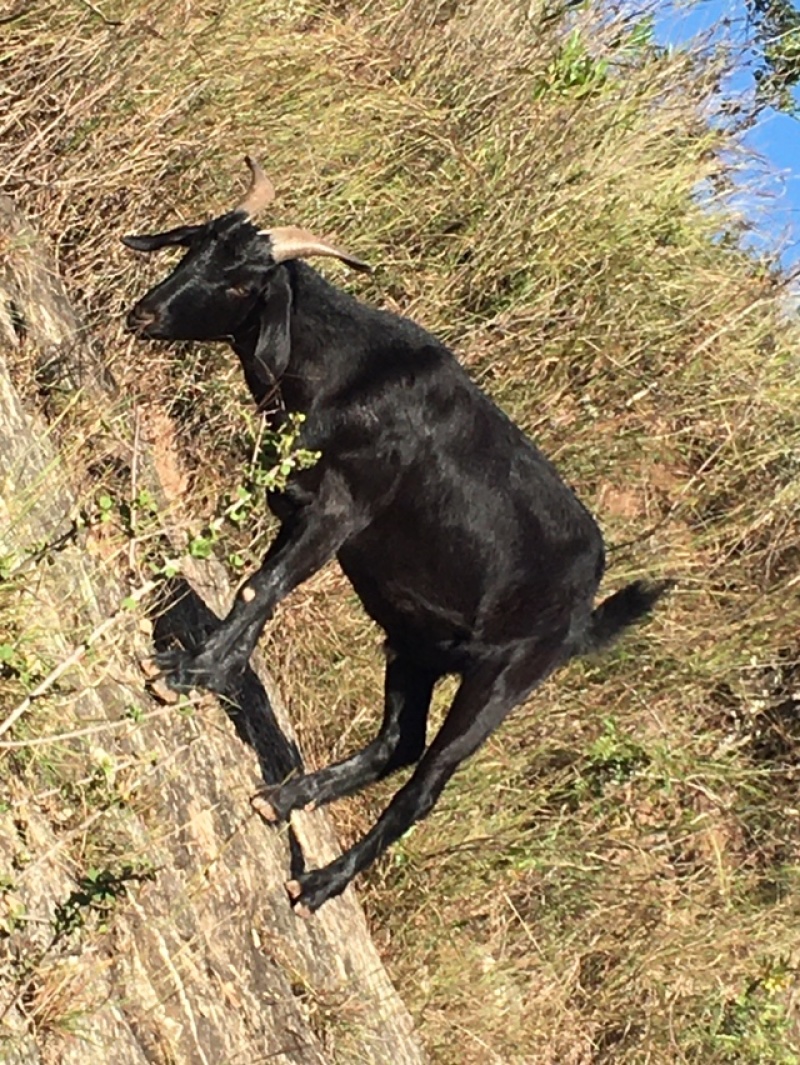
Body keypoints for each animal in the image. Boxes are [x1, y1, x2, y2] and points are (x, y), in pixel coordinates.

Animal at [120, 157, 668, 915]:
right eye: (194, 246)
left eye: (240, 283)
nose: (143, 314)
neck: (352, 374)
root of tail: (585, 609)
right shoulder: (300, 512)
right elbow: (262, 592)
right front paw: (211, 671)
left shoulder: (340, 512)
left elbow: (263, 586)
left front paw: (181, 674)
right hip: (417, 646)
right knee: (399, 742)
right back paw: (281, 798)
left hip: (501, 681)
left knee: (424, 785)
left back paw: (318, 883)